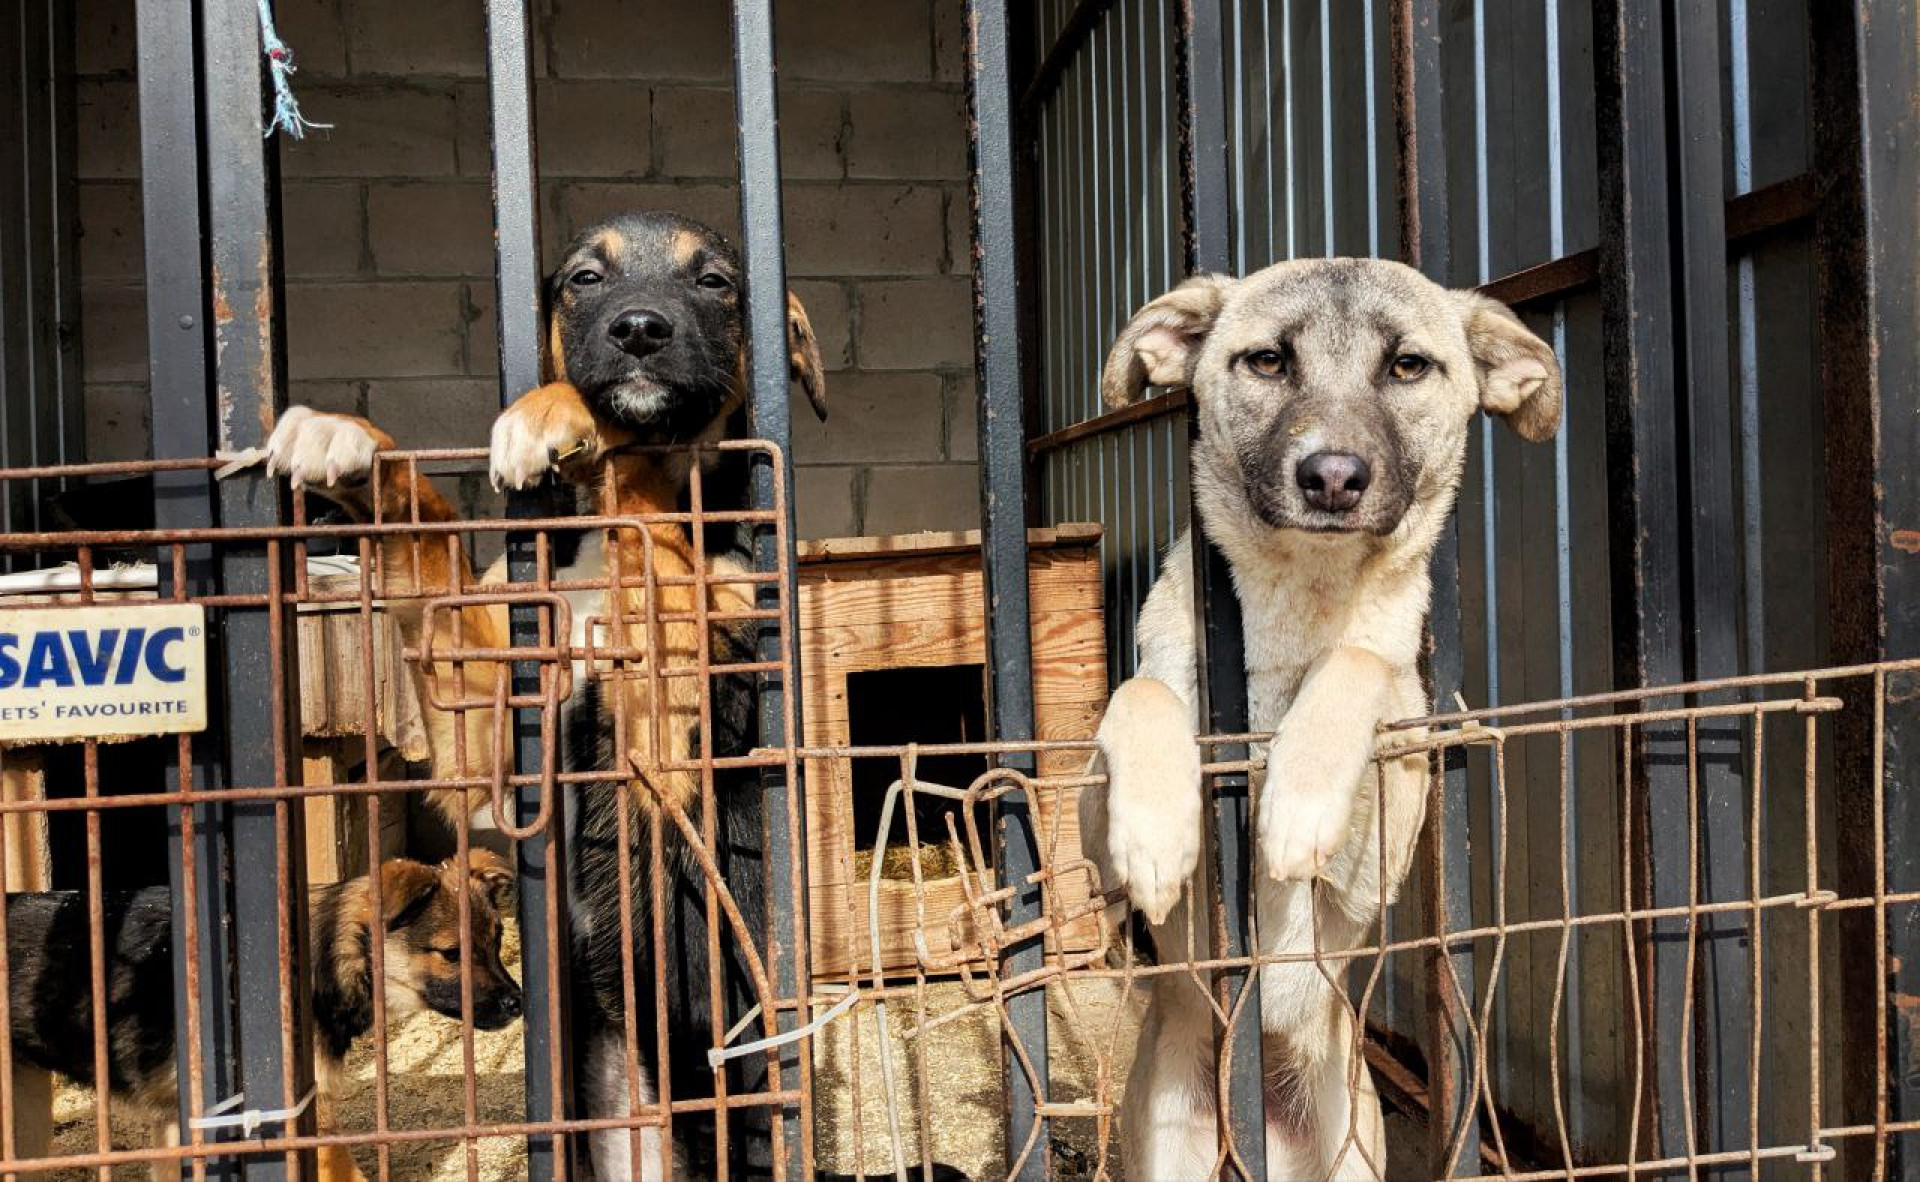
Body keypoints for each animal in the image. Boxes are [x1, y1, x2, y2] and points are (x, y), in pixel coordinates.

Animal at [1082, 257, 1559, 1174]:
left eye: (1407, 366)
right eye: (1268, 361)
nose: (1333, 478)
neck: (1301, 602)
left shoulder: (1379, 850)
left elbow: (1361, 662)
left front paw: (1299, 802)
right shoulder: (1089, 833)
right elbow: (1145, 692)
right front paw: (1156, 833)